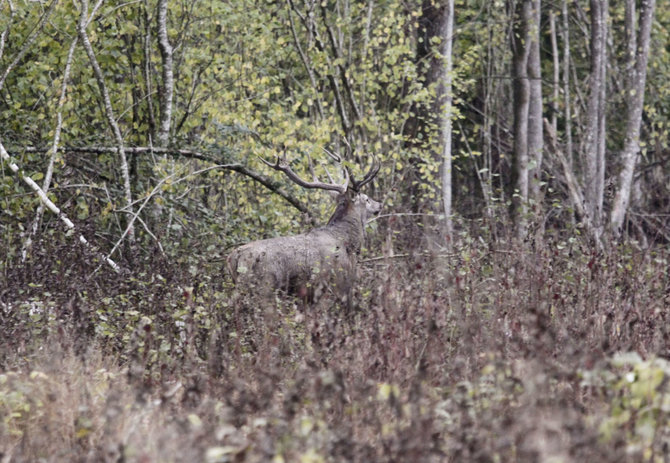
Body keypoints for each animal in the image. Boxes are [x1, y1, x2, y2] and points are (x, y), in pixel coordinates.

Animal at [227, 152, 380, 300]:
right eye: (366, 199)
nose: (379, 204)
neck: (346, 242)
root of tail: (234, 256)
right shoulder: (336, 279)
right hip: (264, 283)